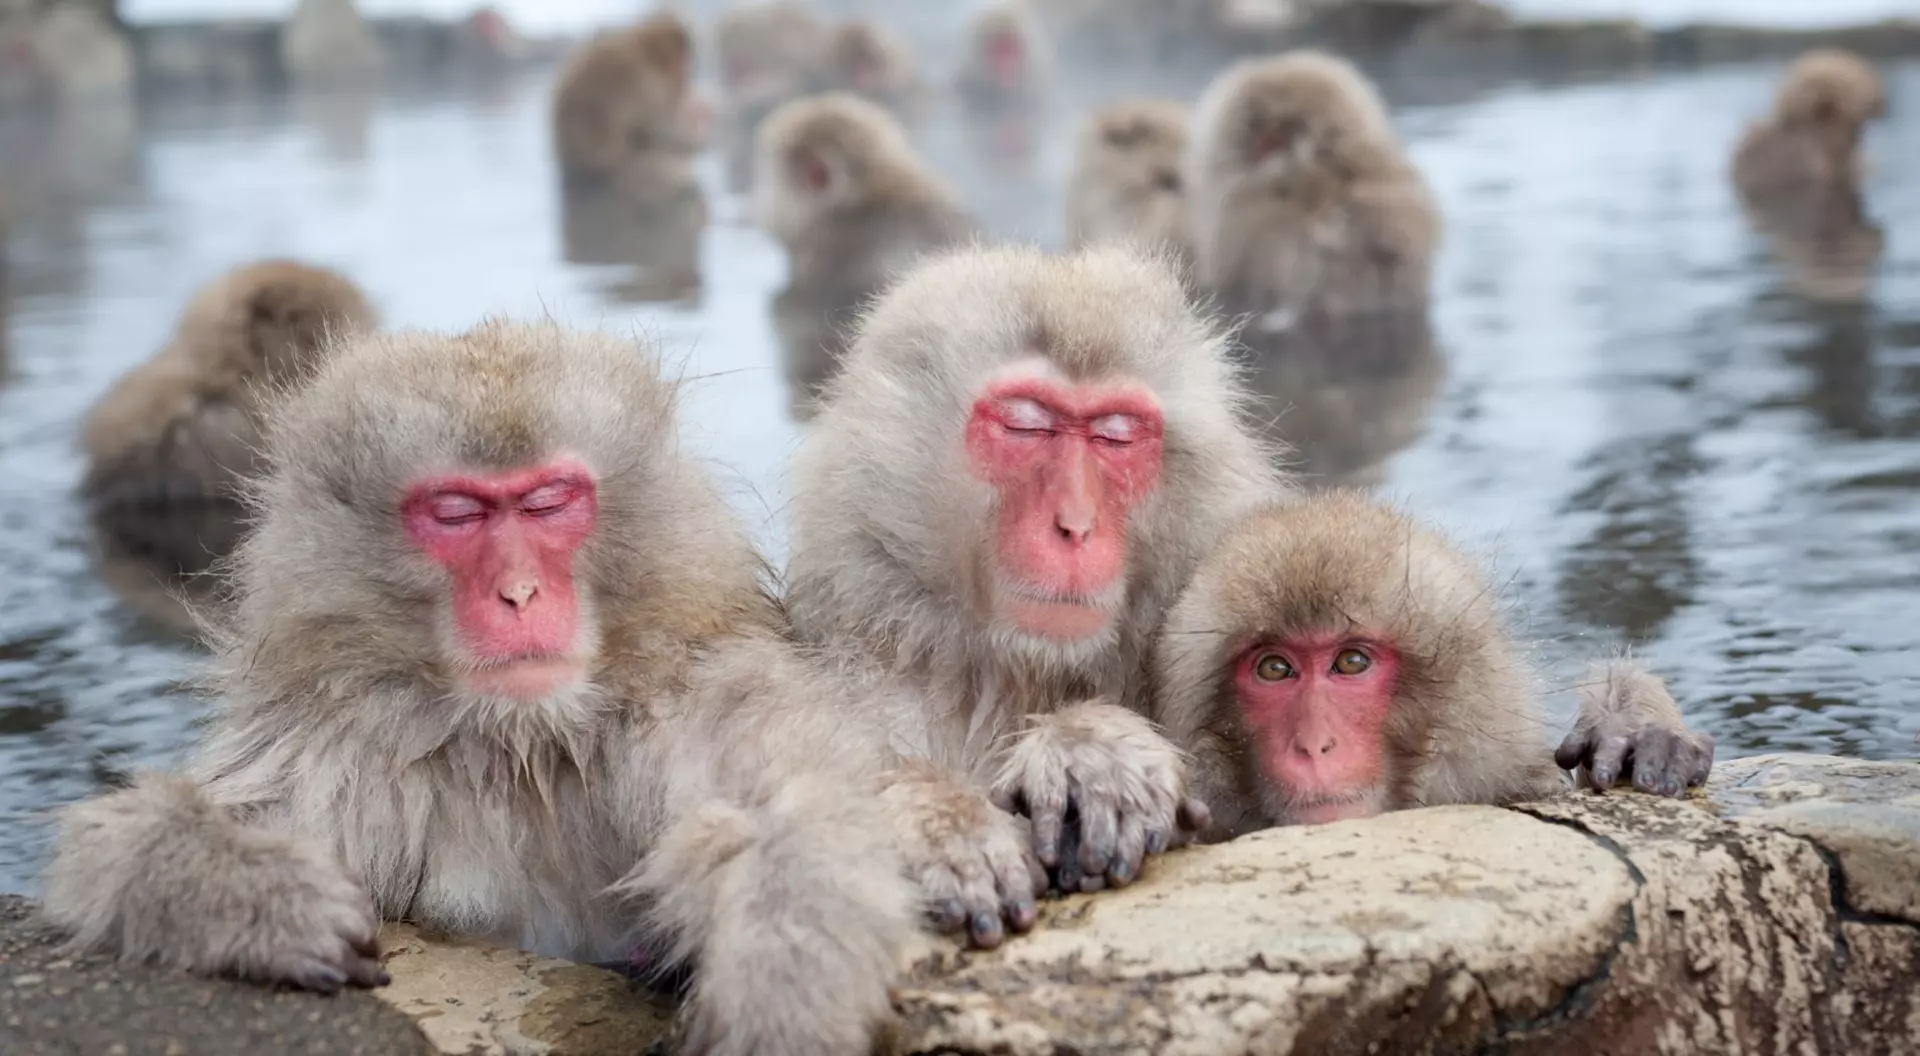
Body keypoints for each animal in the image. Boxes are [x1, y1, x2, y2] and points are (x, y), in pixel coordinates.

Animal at [42, 319, 918, 1056]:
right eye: (458, 513)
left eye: (549, 502)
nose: (519, 594)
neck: (525, 742)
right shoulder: (336, 745)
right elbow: (114, 847)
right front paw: (260, 898)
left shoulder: (691, 701)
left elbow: (791, 808)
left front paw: (778, 984)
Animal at [785, 243, 1294, 946]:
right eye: (1025, 427)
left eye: (1115, 435)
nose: (1075, 524)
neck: (1017, 677)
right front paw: (941, 822)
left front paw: (1092, 749)